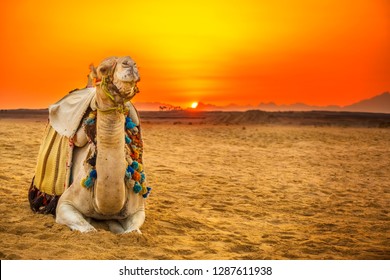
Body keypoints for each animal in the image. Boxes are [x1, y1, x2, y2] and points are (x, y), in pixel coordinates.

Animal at [54, 55, 147, 233]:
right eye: (103, 69)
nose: (130, 63)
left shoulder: (138, 208)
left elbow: (133, 231)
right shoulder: (64, 203)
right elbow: (89, 230)